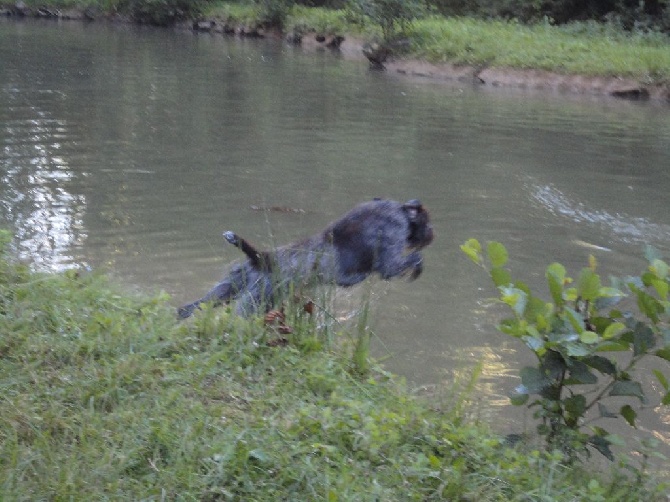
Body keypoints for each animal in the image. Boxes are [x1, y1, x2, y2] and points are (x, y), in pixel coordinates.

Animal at [177, 199, 436, 318]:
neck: (399, 211)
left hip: (226, 289)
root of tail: (262, 258)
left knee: (190, 307)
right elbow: (412, 259)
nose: (433, 234)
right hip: (257, 301)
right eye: (427, 220)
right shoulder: (389, 262)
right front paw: (418, 266)